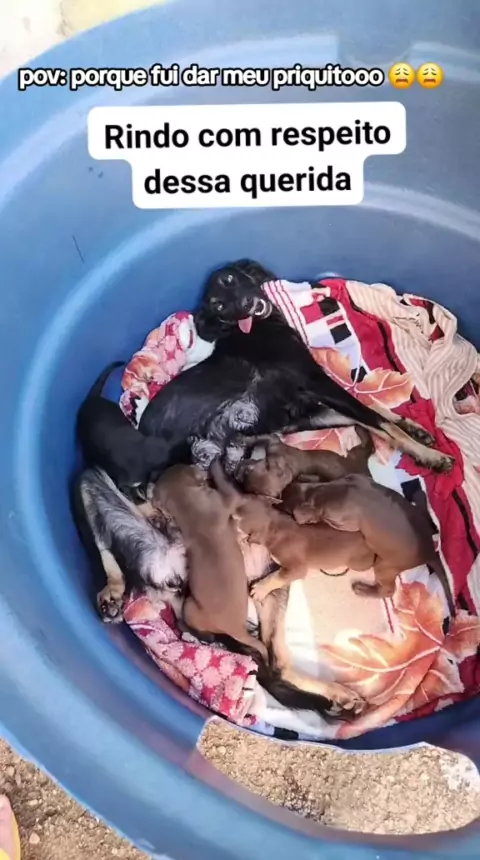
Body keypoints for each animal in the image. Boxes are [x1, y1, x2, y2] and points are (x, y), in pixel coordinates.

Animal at [138, 259, 453, 475]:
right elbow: (377, 420)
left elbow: (373, 411)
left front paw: (415, 429)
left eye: (229, 278)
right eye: (217, 306)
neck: (257, 328)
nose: (246, 304)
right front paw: (430, 456)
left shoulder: (308, 410)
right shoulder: (315, 382)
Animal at [210, 460, 375, 604]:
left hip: (358, 563)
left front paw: (261, 589)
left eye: (234, 521)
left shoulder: (297, 568)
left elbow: (277, 576)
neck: (274, 524)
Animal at [236, 426, 374, 499]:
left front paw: (242, 438)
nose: (236, 475)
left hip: (354, 453)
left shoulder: (273, 441)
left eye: (249, 469)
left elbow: (255, 438)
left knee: (368, 444)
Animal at [282, 473, 456, 614]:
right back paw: (420, 497)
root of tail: (430, 550)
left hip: (385, 565)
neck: (323, 492)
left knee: (388, 590)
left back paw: (362, 589)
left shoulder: (344, 523)